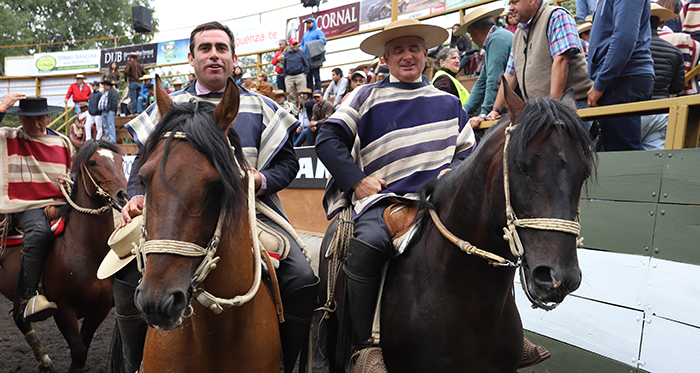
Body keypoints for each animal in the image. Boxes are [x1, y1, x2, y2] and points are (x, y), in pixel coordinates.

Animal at [0, 140, 128, 372]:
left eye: (121, 160)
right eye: (93, 162)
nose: (123, 195)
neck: (86, 250)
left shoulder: (100, 309)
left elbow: (82, 352)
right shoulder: (64, 309)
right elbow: (78, 352)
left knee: (19, 318)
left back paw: (44, 360)